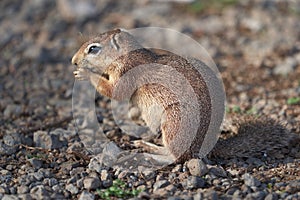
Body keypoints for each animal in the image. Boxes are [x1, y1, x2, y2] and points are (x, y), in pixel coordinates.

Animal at [71, 29, 298, 164]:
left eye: (93, 49)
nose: (73, 61)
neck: (127, 55)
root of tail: (205, 148)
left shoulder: (127, 72)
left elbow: (115, 92)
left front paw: (85, 74)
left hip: (174, 122)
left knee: (176, 157)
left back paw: (149, 150)